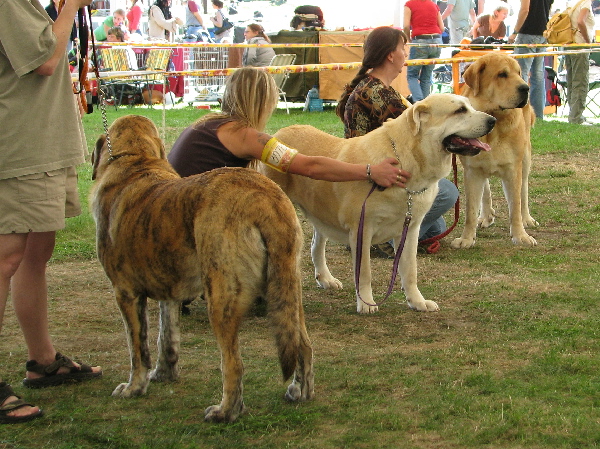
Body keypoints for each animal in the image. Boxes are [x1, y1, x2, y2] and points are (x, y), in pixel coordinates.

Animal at [258, 94, 496, 312]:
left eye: (470, 106)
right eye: (459, 111)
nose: (493, 120)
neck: (407, 163)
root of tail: (278, 135)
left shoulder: (410, 230)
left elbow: (410, 270)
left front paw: (417, 302)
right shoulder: (362, 230)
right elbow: (364, 272)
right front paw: (366, 303)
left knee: (317, 245)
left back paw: (325, 279)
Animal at [452, 53, 540, 248]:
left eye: (518, 73)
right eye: (502, 74)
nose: (526, 88)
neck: (494, 121)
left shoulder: (513, 169)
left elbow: (515, 206)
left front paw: (520, 235)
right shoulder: (472, 171)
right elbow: (470, 210)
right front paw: (466, 239)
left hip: (525, 158)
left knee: (524, 190)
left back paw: (527, 219)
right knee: (485, 190)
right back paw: (485, 216)